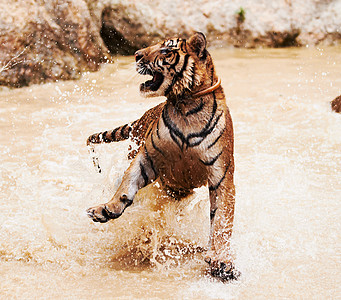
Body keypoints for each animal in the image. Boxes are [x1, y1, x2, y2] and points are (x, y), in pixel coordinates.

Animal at [86, 32, 238, 282]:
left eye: (166, 50)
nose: (136, 54)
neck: (186, 105)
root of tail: (141, 117)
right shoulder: (146, 158)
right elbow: (126, 184)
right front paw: (107, 209)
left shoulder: (221, 176)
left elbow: (222, 221)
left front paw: (222, 261)